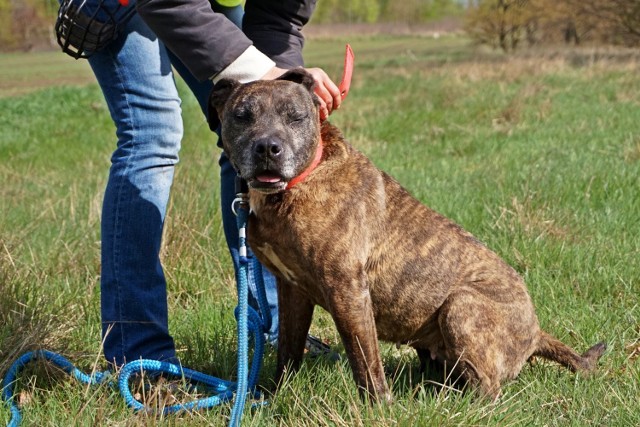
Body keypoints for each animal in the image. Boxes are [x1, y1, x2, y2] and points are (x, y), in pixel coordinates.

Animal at [209, 67, 604, 402]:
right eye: (242, 116)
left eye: (295, 116)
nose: (267, 148)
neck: (300, 182)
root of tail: (536, 332)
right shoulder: (293, 290)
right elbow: (289, 352)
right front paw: (275, 397)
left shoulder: (347, 289)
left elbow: (365, 362)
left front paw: (378, 408)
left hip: (461, 307)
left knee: (488, 391)